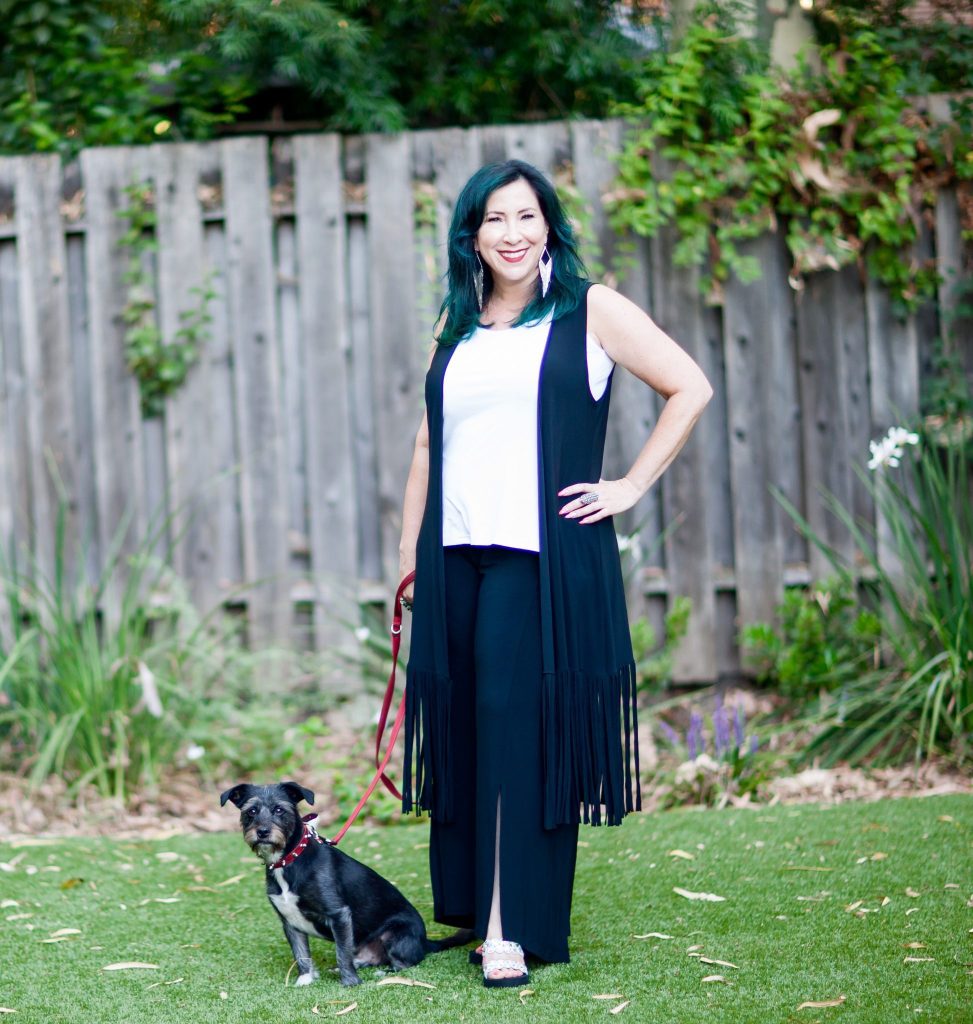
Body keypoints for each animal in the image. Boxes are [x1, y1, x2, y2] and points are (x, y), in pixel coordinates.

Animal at [221, 782, 473, 983]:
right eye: (251, 811)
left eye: (279, 809)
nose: (262, 832)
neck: (289, 861)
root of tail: (425, 942)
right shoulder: (290, 922)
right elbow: (302, 954)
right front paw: (305, 980)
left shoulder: (338, 914)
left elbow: (342, 952)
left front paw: (350, 983)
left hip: (395, 935)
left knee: (405, 963)